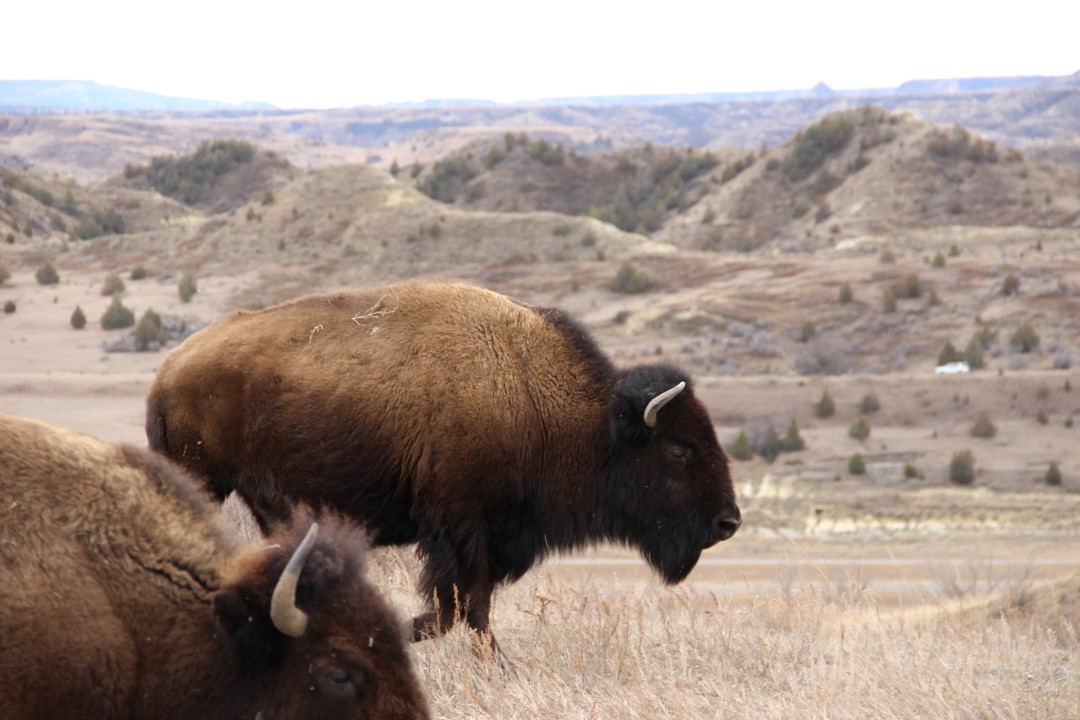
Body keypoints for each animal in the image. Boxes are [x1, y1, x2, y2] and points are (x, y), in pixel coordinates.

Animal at [146, 280, 741, 653]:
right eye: (680, 449)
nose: (728, 521)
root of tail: (168, 371)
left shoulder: (489, 538)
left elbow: (473, 611)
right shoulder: (460, 526)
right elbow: (462, 609)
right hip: (203, 483)